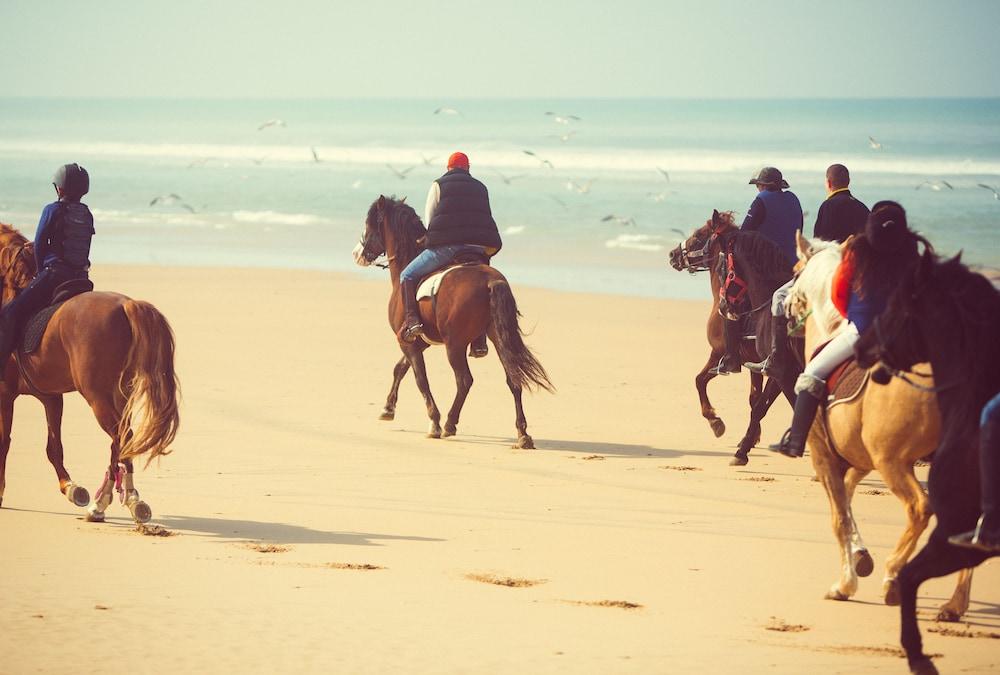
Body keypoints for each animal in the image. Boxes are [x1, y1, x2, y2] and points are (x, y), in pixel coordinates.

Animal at [0, 222, 180, 524]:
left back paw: (112, 502)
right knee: (121, 440)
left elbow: (6, 442)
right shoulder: (51, 397)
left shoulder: (6, 393)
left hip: (98, 397)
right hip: (119, 395)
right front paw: (71, 488)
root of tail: (126, 305)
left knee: (121, 438)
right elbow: (54, 447)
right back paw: (117, 501)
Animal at [354, 197, 552, 448]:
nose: (357, 253)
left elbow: (420, 380)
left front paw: (434, 422)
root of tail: (492, 281)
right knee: (513, 379)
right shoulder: (419, 342)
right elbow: (400, 368)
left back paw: (449, 423)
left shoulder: (408, 342)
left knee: (464, 380)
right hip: (498, 338)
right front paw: (388, 408)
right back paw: (523, 434)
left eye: (369, 224)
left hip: (454, 345)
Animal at [668, 211, 800, 464]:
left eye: (699, 235)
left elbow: (699, 380)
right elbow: (755, 401)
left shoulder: (720, 354)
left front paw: (715, 422)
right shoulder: (757, 366)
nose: (672, 254)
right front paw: (750, 437)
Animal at [788, 235, 968, 620]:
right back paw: (954, 604)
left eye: (794, 270)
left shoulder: (825, 457)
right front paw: (860, 556)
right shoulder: (858, 461)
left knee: (920, 509)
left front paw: (846, 584)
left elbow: (839, 518)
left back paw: (893, 578)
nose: (783, 308)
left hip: (894, 463)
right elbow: (847, 502)